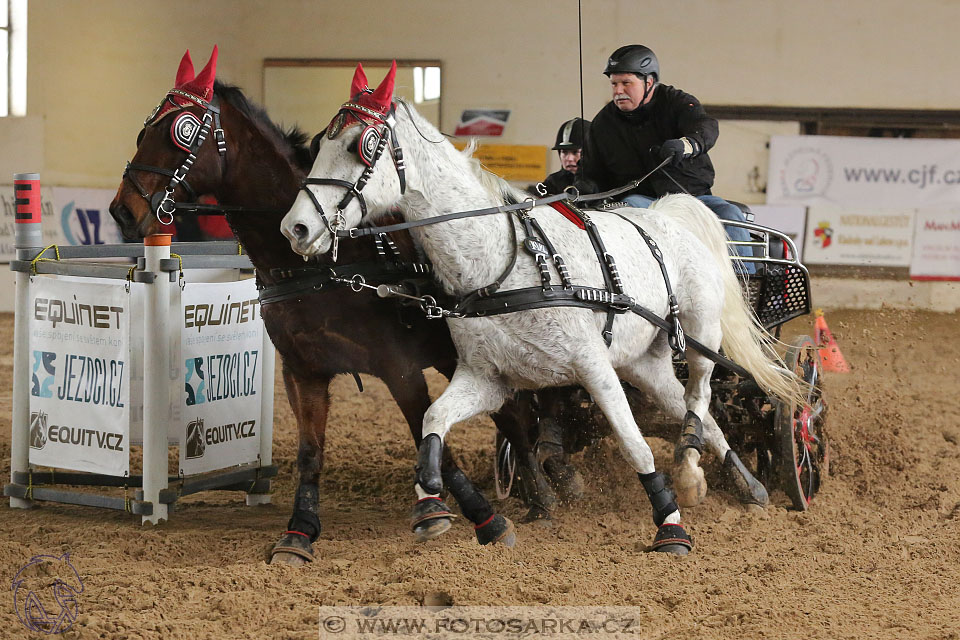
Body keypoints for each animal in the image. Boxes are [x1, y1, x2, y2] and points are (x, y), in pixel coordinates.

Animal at [108, 50, 560, 564]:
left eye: (181, 131)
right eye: (145, 129)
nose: (122, 211)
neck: (325, 263)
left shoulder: (399, 366)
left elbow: (429, 437)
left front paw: (474, 516)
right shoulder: (302, 369)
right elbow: (311, 451)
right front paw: (298, 531)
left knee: (516, 417)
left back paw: (541, 500)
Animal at [282, 63, 800, 556]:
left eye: (363, 145)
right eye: (320, 142)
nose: (296, 228)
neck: (503, 266)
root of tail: (668, 212)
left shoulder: (593, 366)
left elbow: (635, 447)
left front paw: (670, 529)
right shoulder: (487, 378)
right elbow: (434, 422)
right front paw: (430, 504)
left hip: (699, 335)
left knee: (700, 397)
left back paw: (695, 470)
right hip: (644, 363)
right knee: (698, 413)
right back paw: (740, 484)